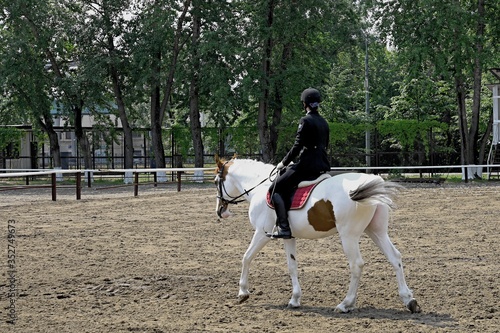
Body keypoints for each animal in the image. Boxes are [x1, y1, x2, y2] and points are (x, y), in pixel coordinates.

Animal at [215, 154, 422, 312]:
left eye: (217, 181)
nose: (220, 211)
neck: (258, 187)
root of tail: (370, 182)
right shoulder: (288, 236)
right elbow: (292, 266)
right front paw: (295, 299)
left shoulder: (261, 233)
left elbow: (246, 257)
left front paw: (243, 293)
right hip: (376, 231)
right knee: (395, 257)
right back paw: (409, 300)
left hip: (349, 236)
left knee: (356, 265)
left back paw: (345, 304)